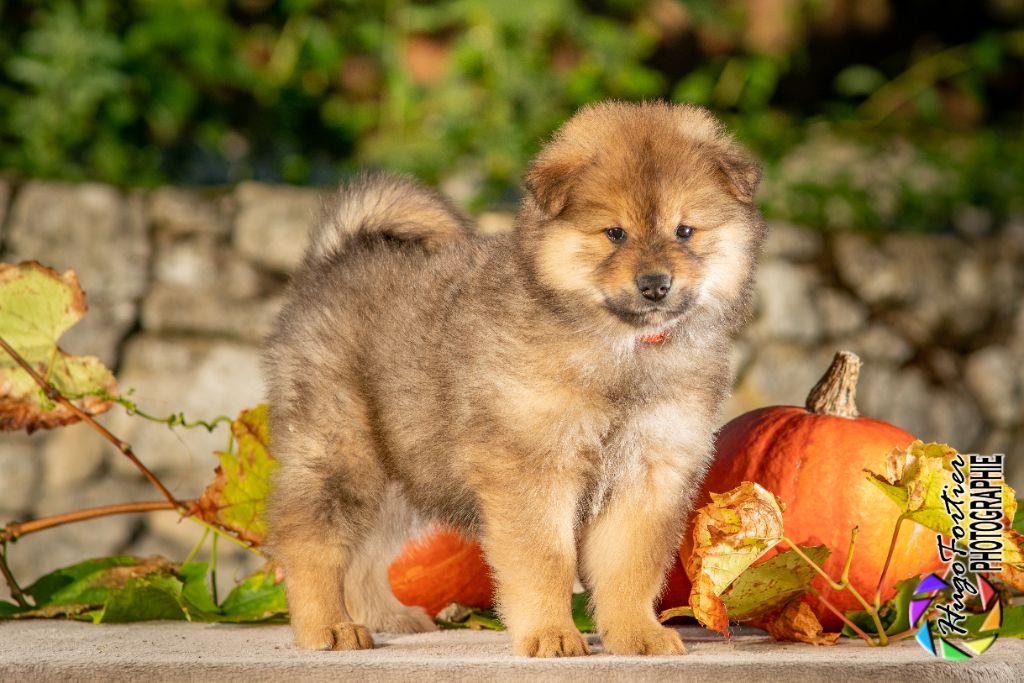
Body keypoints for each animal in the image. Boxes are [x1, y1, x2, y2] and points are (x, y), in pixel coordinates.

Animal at [264, 101, 770, 655]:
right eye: (614, 233)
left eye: (684, 231)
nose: (656, 284)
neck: (623, 352)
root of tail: (333, 263)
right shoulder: (533, 465)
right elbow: (546, 560)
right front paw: (551, 635)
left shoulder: (649, 472)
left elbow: (630, 569)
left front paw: (637, 634)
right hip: (343, 452)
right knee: (312, 541)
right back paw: (329, 627)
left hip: (404, 467)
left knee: (368, 552)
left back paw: (387, 616)